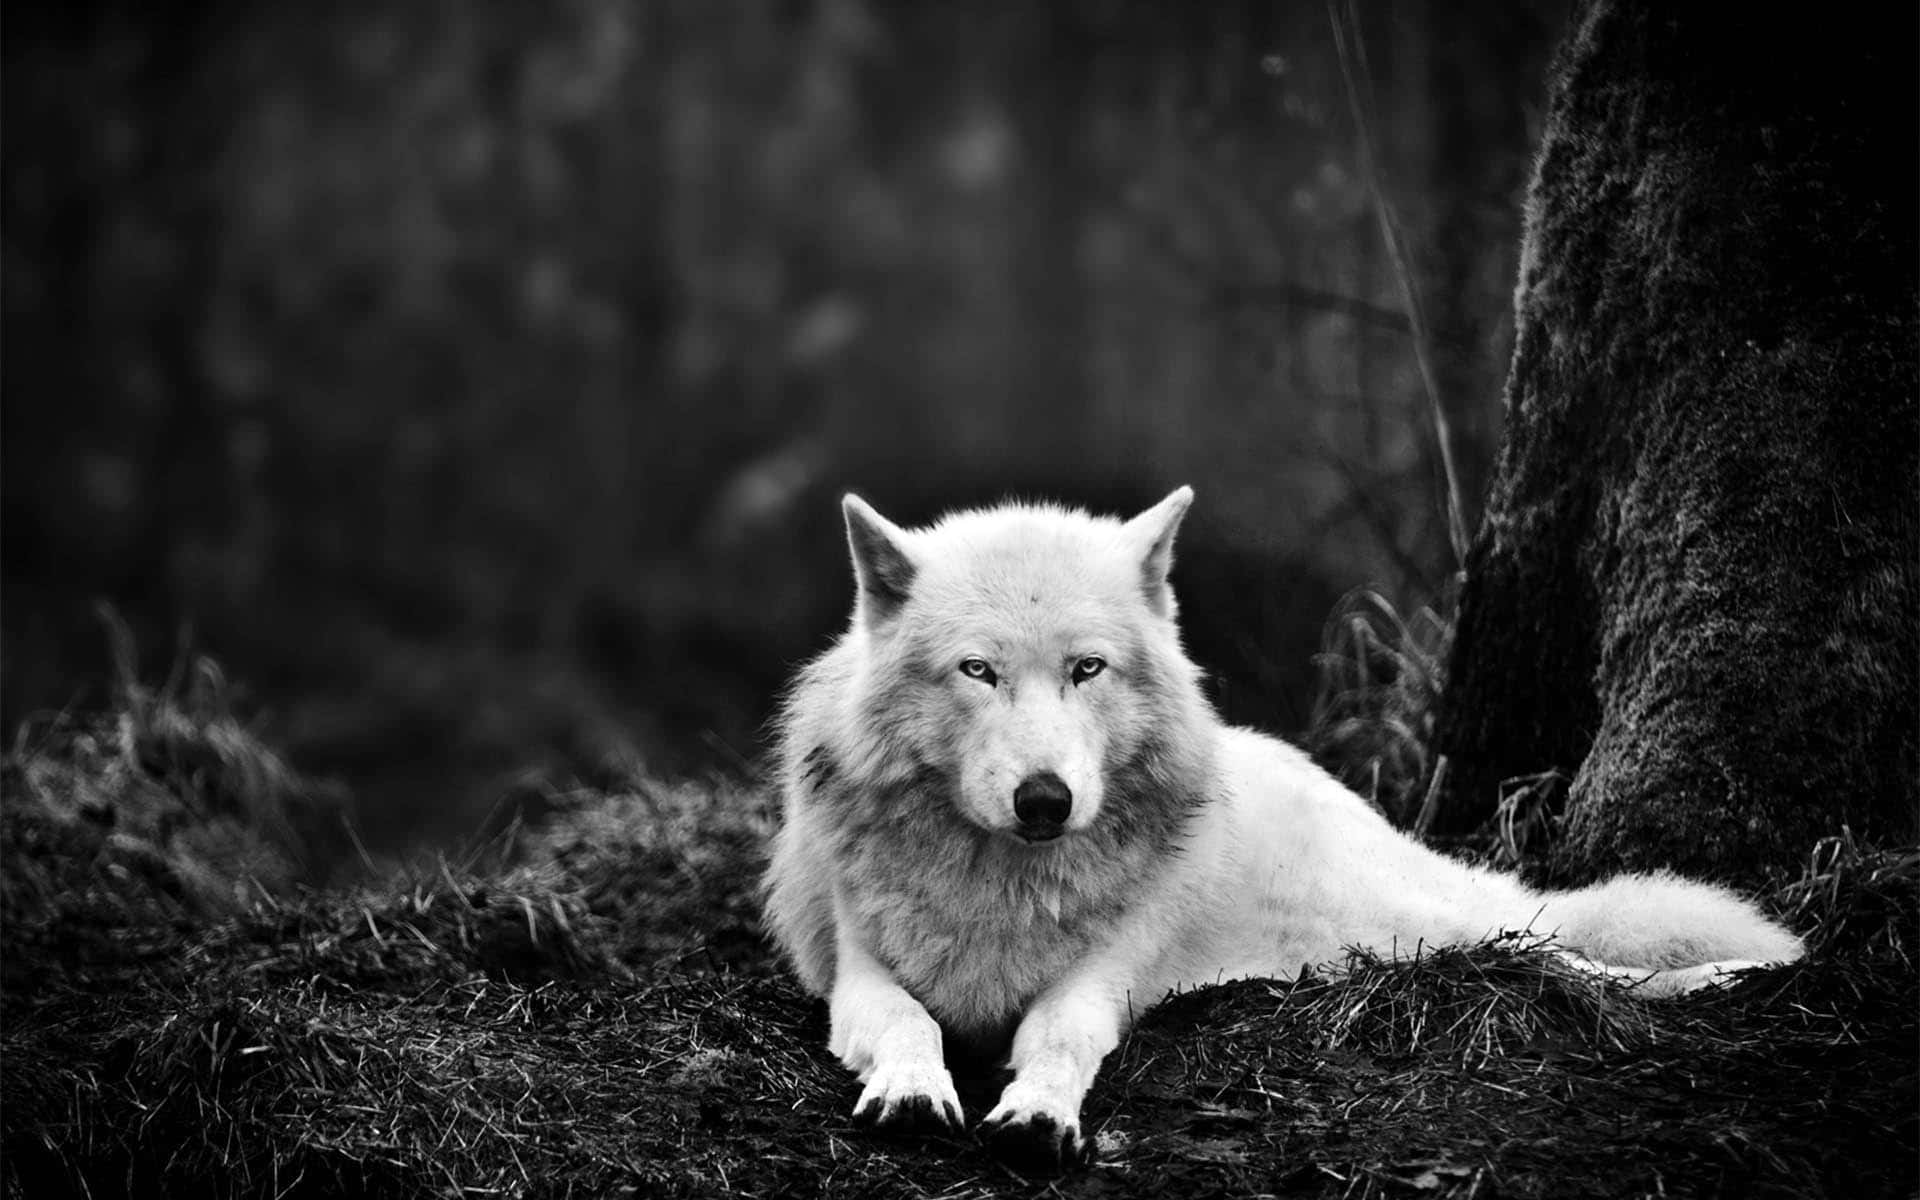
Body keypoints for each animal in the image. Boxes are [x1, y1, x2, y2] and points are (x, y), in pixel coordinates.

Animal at [763, 488, 1803, 1169]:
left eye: (1087, 669)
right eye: (977, 671)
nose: (1045, 800)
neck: (1005, 884)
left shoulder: (1100, 981)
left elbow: (1059, 1038)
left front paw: (1040, 1115)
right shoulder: (858, 974)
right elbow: (907, 1021)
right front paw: (913, 1089)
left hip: (1425, 927)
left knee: (1564, 951)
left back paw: (1741, 972)